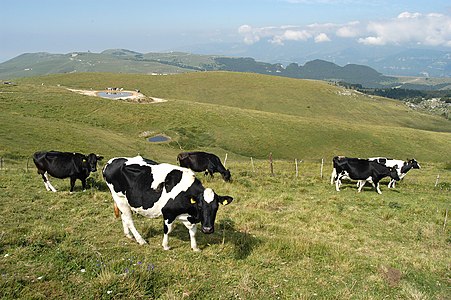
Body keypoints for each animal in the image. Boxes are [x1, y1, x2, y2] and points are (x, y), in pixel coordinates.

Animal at [103, 156, 235, 252]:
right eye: (200, 206)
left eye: (216, 207)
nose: (207, 229)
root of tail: (111, 161)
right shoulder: (168, 213)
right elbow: (168, 229)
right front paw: (165, 246)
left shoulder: (190, 218)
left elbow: (193, 232)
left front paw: (195, 247)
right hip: (119, 197)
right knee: (129, 220)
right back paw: (141, 240)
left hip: (123, 201)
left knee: (124, 217)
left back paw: (128, 235)